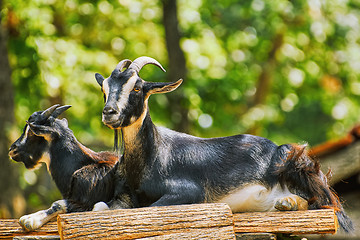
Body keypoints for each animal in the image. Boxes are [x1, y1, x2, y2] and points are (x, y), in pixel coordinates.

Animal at [94, 56, 352, 232]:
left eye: (137, 88)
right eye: (104, 89)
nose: (109, 112)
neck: (152, 156)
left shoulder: (190, 192)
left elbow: (147, 208)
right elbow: (99, 207)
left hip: (294, 161)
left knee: (322, 202)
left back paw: (287, 202)